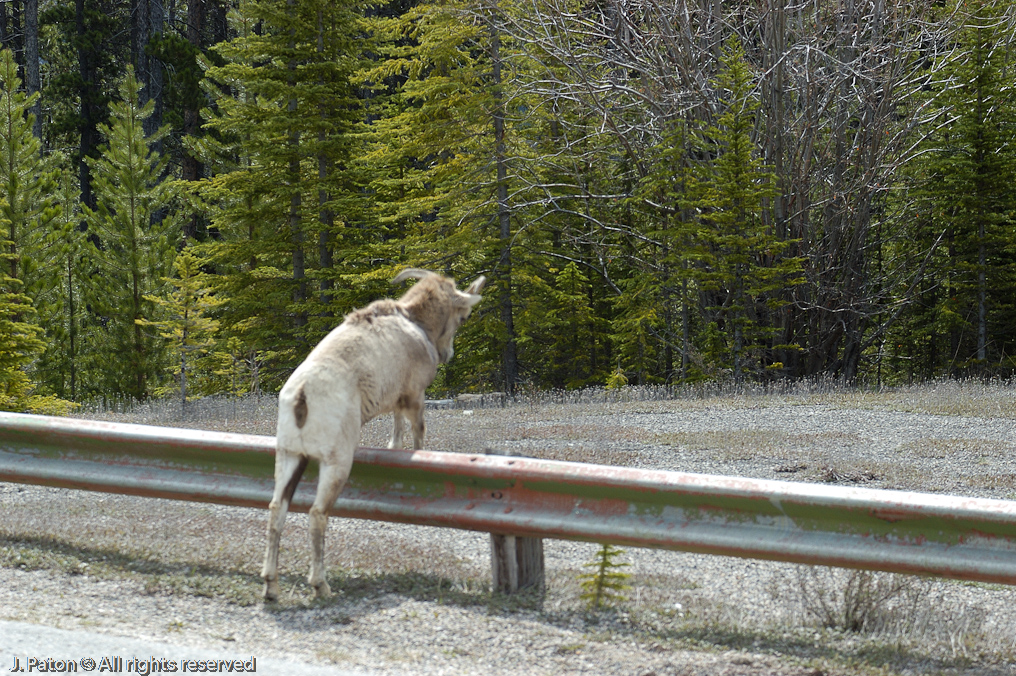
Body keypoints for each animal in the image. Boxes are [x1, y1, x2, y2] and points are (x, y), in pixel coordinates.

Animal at [261, 268, 485, 601]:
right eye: (464, 316)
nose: (447, 354)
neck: (415, 324)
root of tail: (302, 396)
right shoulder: (415, 396)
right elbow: (417, 434)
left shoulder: (396, 402)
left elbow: (397, 432)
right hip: (336, 464)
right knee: (317, 513)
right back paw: (322, 586)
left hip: (289, 457)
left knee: (278, 508)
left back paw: (271, 588)